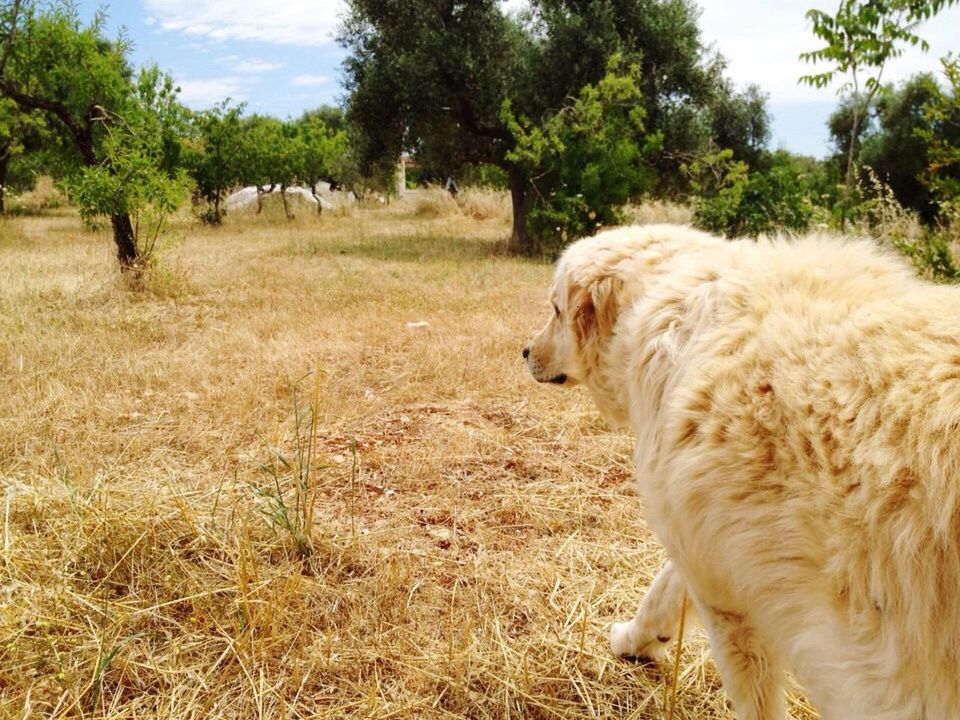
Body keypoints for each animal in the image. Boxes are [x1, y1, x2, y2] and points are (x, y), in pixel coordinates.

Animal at [524, 225, 960, 720]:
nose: (524, 352)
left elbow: (751, 693)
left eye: (555, 309)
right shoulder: (706, 546)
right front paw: (635, 641)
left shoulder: (729, 602)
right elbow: (661, 593)